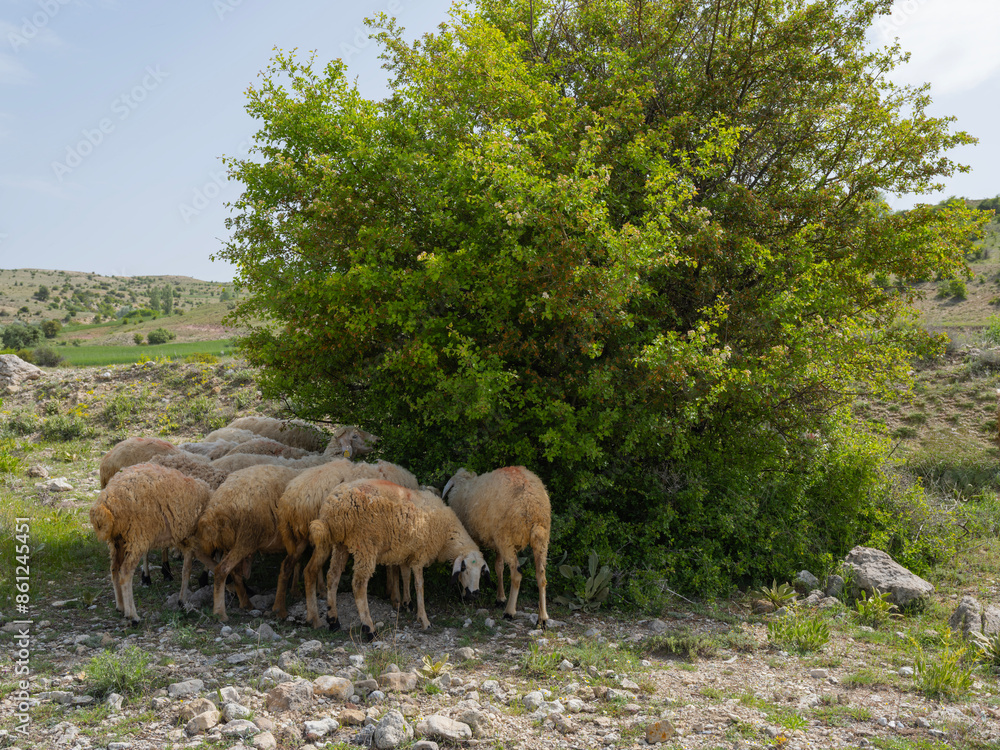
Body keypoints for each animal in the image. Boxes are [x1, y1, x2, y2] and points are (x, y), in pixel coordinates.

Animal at [89, 463, 212, 625]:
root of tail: (106, 501)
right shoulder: (191, 539)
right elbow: (187, 570)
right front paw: (183, 600)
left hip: (117, 541)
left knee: (114, 569)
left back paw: (120, 607)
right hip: (137, 537)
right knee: (125, 573)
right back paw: (132, 616)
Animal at [189, 464, 302, 621]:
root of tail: (215, 511)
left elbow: (296, 563)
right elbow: (293, 564)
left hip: (234, 542)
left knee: (234, 572)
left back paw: (245, 603)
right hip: (246, 537)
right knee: (222, 569)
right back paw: (220, 612)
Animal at [271, 458, 419, 618]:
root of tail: (289, 501)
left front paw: (391, 593)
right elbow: (396, 568)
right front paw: (397, 599)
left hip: (303, 536)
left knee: (287, 565)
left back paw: (279, 609)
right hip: (323, 536)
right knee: (310, 570)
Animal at [304, 479, 487, 636]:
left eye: (481, 571)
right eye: (464, 568)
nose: (475, 594)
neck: (446, 533)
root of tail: (334, 506)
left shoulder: (406, 553)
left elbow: (405, 577)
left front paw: (407, 604)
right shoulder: (420, 555)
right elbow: (419, 585)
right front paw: (424, 619)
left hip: (339, 544)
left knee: (331, 576)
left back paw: (333, 620)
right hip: (365, 544)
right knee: (358, 584)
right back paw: (369, 629)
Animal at [443, 466, 551, 628]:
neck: (464, 486)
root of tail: (531, 504)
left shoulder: (473, 537)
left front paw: (465, 592)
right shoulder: (497, 543)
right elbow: (498, 567)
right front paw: (500, 597)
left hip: (507, 538)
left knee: (516, 574)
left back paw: (509, 612)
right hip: (541, 537)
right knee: (541, 575)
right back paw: (542, 618)